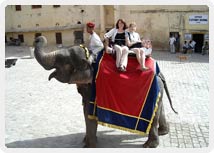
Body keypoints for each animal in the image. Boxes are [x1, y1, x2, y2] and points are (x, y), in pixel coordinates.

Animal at [33, 36, 177, 148]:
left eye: (63, 61)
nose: (38, 38)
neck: (91, 58)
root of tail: (159, 72)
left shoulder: (93, 87)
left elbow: (88, 112)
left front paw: (88, 146)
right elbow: (85, 110)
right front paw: (85, 141)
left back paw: (149, 145)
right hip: (158, 88)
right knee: (159, 108)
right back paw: (163, 132)